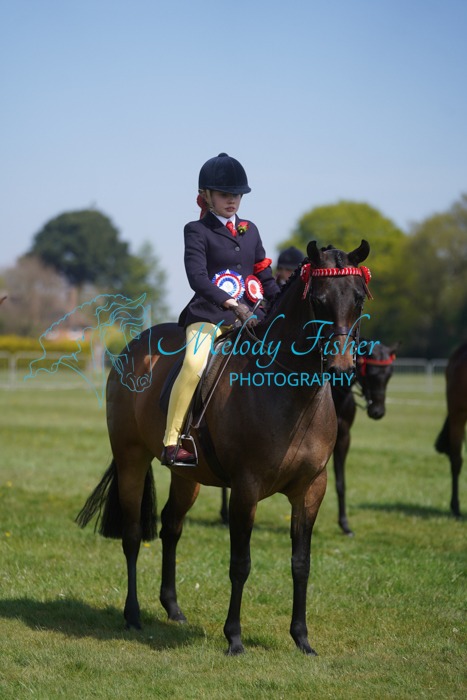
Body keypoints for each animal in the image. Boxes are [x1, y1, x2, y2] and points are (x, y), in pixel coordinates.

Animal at [76, 240, 372, 656]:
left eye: (358, 298)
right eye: (319, 299)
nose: (342, 367)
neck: (291, 395)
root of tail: (133, 346)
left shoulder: (312, 489)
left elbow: (301, 562)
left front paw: (302, 638)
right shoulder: (246, 489)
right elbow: (240, 563)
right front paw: (234, 637)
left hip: (187, 476)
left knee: (171, 526)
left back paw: (172, 607)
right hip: (131, 458)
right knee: (133, 536)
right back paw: (132, 614)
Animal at [220, 342, 397, 535]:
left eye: (389, 374)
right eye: (371, 372)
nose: (377, 411)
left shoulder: (343, 438)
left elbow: (340, 483)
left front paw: (344, 525)